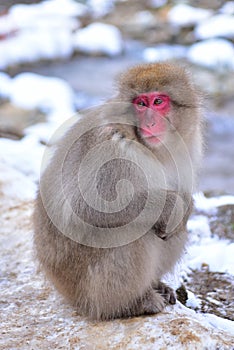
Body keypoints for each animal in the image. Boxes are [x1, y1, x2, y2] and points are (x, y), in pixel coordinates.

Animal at [33, 63, 203, 320]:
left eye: (158, 101)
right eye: (141, 104)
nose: (150, 123)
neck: (145, 145)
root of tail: (66, 291)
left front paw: (186, 206)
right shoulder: (108, 150)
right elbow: (82, 210)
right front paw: (170, 205)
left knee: (173, 230)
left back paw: (156, 285)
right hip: (89, 288)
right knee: (131, 228)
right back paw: (129, 304)